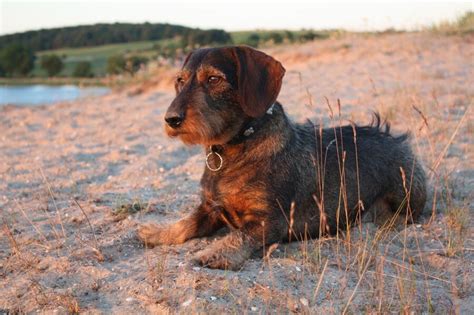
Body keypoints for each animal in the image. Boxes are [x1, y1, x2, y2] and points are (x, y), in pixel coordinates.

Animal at [136, 46, 426, 272]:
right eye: (180, 80)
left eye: (214, 78)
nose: (171, 119)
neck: (237, 145)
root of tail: (398, 141)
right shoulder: (210, 208)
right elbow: (186, 223)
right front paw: (157, 232)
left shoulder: (271, 220)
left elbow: (238, 236)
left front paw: (214, 253)